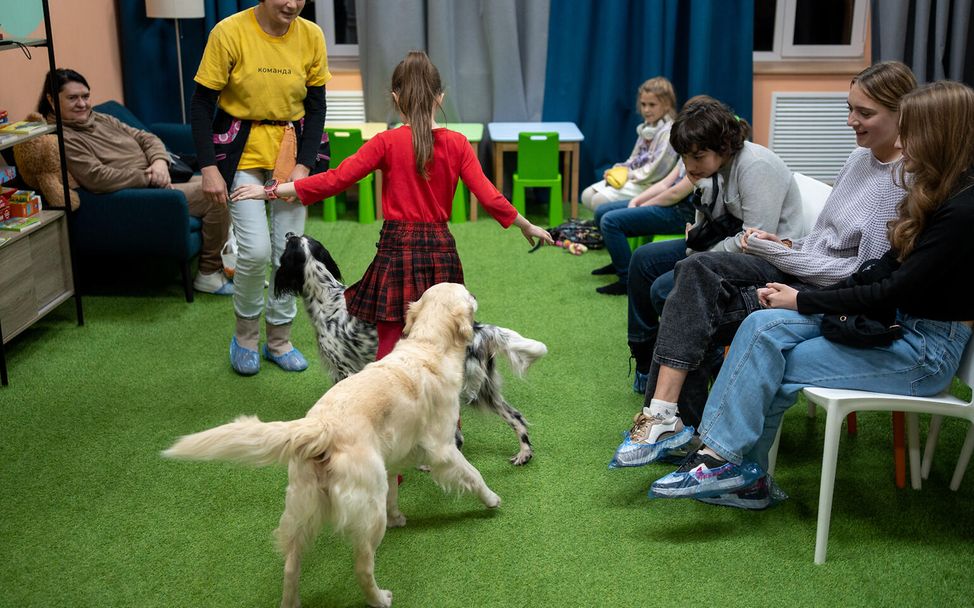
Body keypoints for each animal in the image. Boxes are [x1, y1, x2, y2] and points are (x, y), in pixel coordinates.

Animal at [163, 284, 500, 608]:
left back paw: (292, 602)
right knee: (362, 568)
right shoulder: (443, 447)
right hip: (367, 511)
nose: (475, 293)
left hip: (304, 506)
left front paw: (398, 517)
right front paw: (492, 500)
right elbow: (473, 474)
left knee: (291, 565)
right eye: (467, 294)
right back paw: (380, 599)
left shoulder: (392, 460)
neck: (429, 346)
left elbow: (394, 491)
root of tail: (321, 427)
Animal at [276, 233, 548, 466]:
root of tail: (478, 330)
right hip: (484, 391)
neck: (328, 300)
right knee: (516, 417)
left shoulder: (345, 371)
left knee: (458, 438)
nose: (288, 233)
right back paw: (524, 454)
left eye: (290, 243)